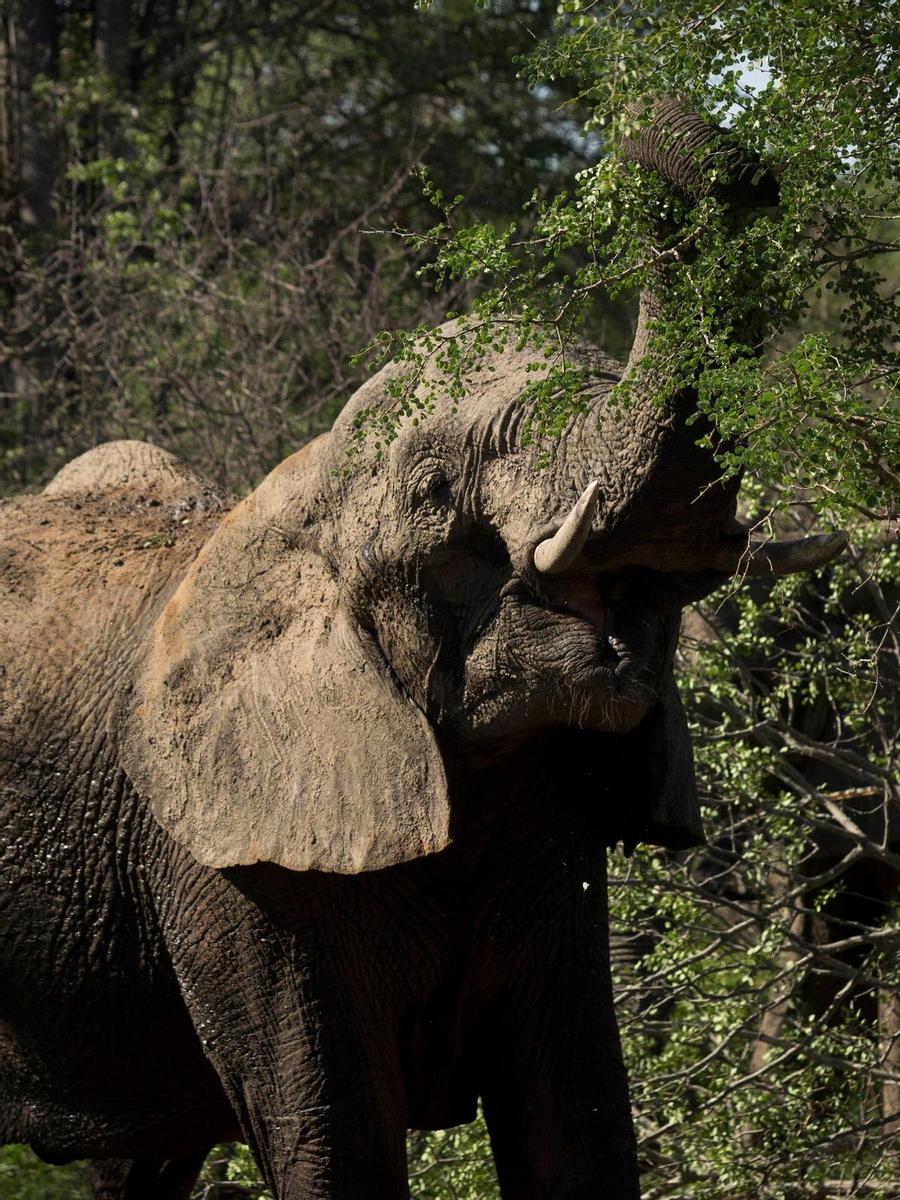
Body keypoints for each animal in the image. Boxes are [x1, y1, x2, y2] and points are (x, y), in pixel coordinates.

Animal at [0, 103, 844, 1200]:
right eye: (437, 491)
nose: (650, 134)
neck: (297, 502)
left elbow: (576, 1123)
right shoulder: (231, 863)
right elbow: (339, 1139)